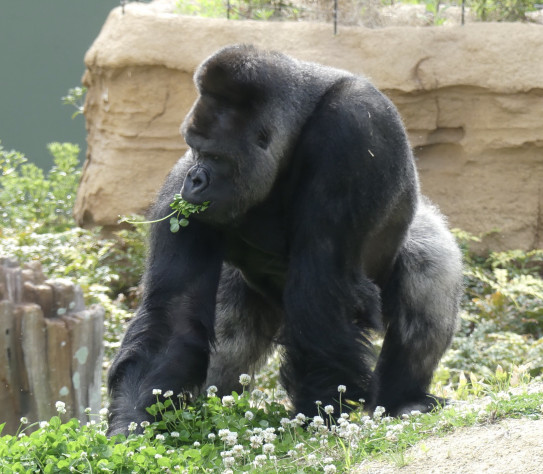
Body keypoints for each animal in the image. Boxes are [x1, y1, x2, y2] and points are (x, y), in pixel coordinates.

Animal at [107, 45, 464, 436]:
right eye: (195, 148)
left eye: (214, 155)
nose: (196, 179)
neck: (294, 131)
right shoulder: (178, 186)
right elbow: (174, 318)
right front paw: (131, 427)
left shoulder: (354, 131)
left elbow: (321, 289)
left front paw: (318, 417)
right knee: (230, 335)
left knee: (429, 272)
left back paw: (403, 399)